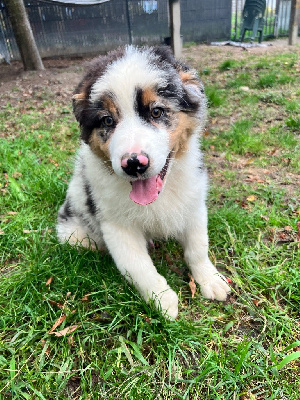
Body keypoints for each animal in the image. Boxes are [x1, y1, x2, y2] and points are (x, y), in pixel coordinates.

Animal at [56, 45, 230, 318]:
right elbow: (138, 266)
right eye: (107, 120)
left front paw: (210, 280)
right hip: (75, 233)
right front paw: (162, 300)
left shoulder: (193, 203)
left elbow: (198, 247)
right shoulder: (116, 226)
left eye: (156, 111)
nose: (134, 164)